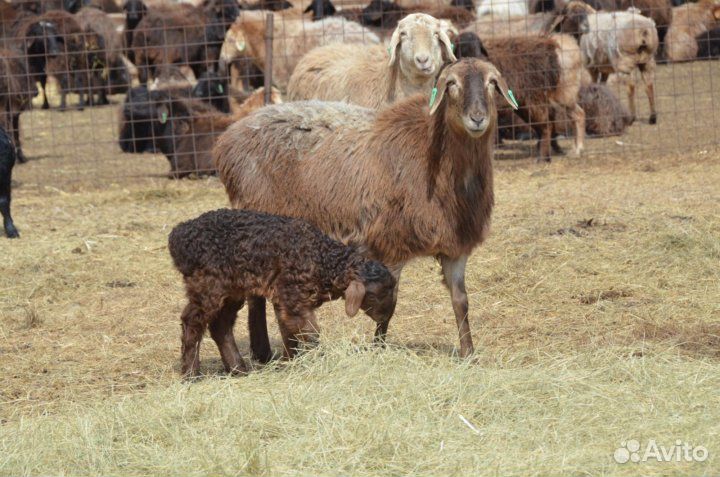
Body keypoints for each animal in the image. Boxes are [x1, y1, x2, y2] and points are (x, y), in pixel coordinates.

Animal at [169, 208, 397, 376]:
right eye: (375, 295)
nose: (386, 317)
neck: (322, 260)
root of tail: (178, 237)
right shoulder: (292, 297)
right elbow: (310, 333)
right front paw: (316, 360)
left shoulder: (287, 301)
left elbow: (290, 334)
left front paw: (290, 362)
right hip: (208, 286)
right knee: (192, 322)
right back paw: (191, 373)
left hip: (232, 290)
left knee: (220, 325)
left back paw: (238, 369)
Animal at [214, 58, 519, 358]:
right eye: (451, 84)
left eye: (492, 83)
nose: (477, 118)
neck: (432, 154)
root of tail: (228, 142)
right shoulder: (390, 244)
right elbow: (391, 303)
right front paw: (379, 348)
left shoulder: (455, 247)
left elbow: (461, 301)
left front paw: (469, 353)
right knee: (255, 295)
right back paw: (263, 351)